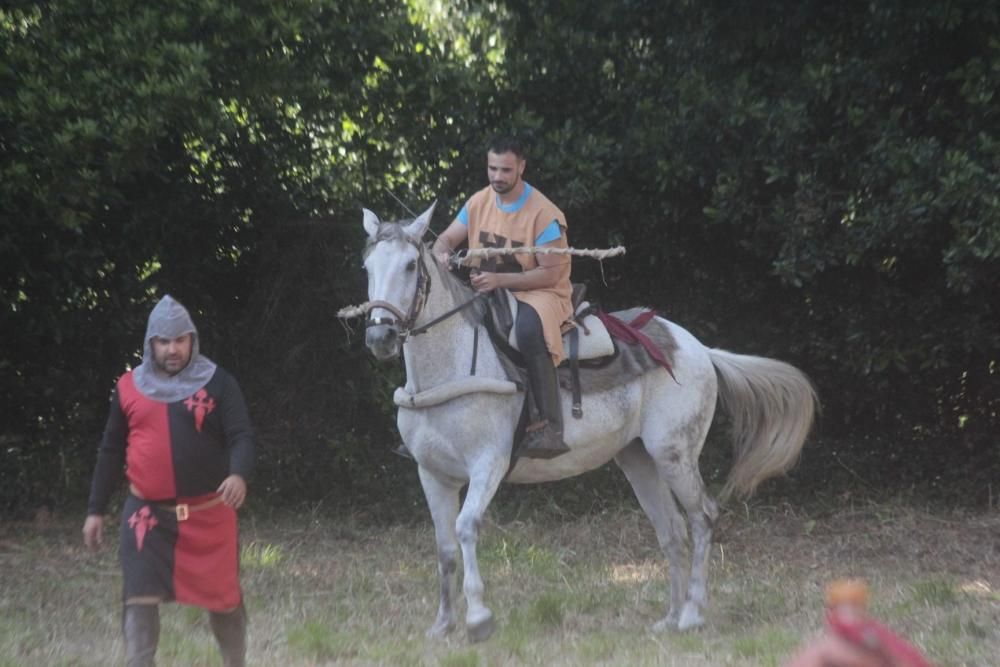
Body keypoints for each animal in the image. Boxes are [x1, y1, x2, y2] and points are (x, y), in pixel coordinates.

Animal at [356, 204, 816, 640]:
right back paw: (668, 619)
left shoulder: (488, 464)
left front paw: (479, 618)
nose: (380, 338)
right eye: (368, 268)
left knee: (702, 518)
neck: (451, 364)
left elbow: (466, 528)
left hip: (674, 455)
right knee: (671, 530)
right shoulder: (433, 474)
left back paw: (691, 615)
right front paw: (443, 624)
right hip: (638, 459)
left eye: (410, 266)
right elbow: (445, 547)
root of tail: (698, 347)